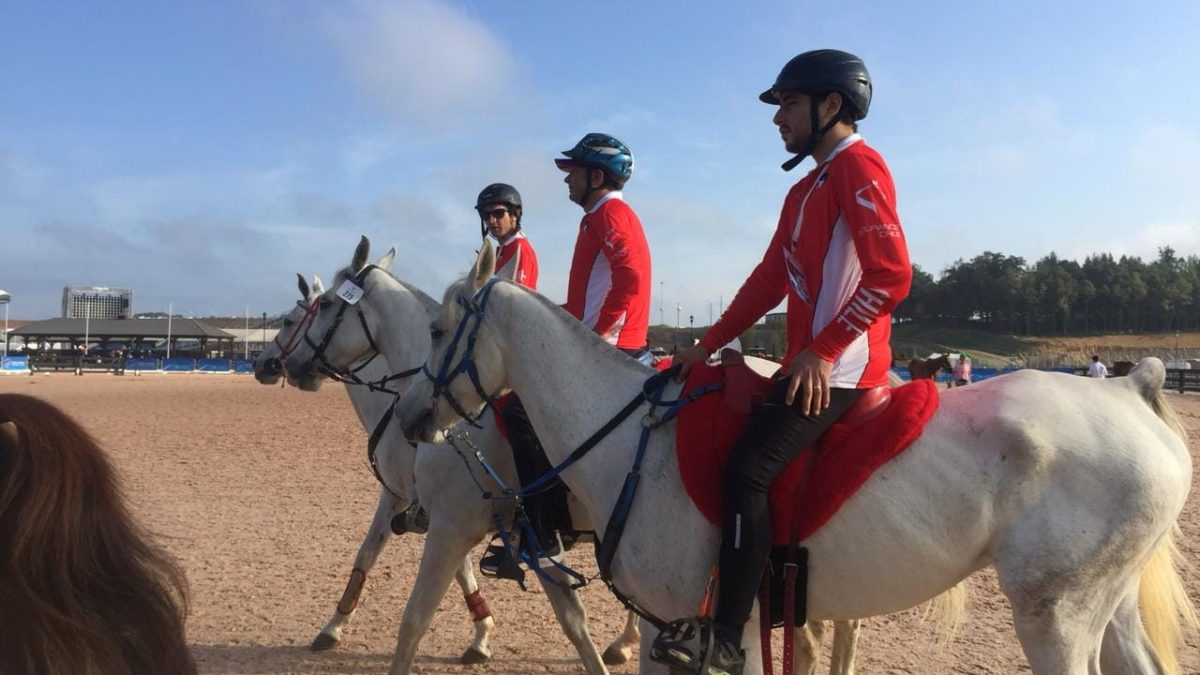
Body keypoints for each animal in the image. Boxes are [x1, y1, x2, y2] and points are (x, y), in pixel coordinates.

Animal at [396, 243, 1200, 672]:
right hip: (1107, 606)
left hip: (1056, 617)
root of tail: (1131, 385)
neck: (630, 442)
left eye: (436, 329)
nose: (409, 418)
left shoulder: (679, 623)